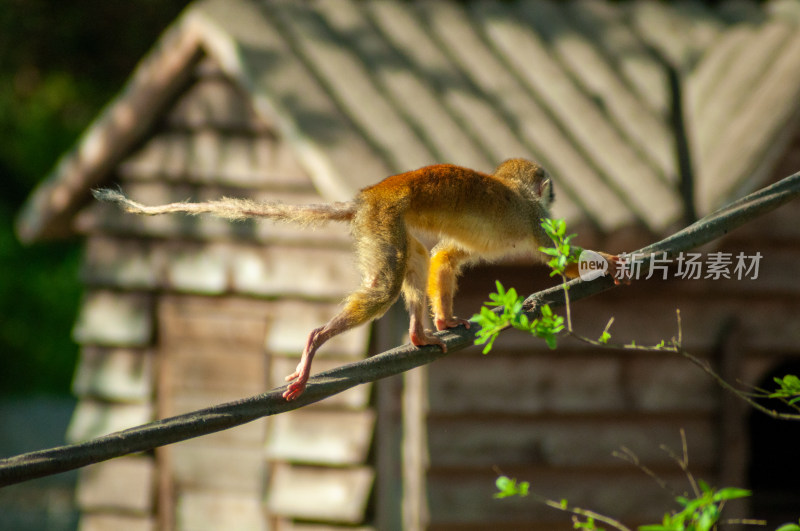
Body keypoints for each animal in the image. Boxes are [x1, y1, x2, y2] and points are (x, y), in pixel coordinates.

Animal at [94, 160, 620, 402]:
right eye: (548, 191)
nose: (555, 193)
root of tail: (366, 198)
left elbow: (447, 256)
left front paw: (447, 318)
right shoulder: (534, 218)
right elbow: (561, 256)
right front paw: (612, 264)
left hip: (382, 226)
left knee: (417, 258)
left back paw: (421, 334)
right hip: (383, 221)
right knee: (387, 283)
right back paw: (314, 343)